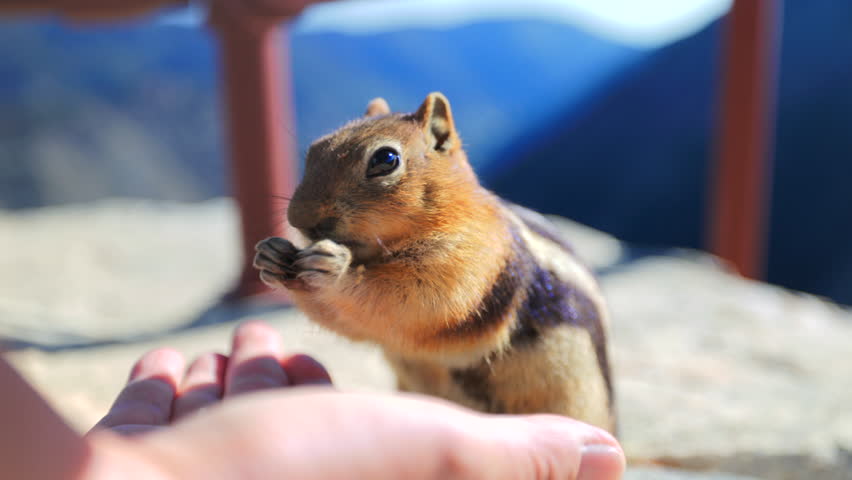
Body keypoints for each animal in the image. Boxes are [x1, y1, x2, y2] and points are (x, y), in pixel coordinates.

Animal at [253, 92, 615, 432]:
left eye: (385, 159)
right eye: (314, 150)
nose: (299, 220)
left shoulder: (472, 260)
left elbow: (415, 301)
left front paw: (336, 269)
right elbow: (356, 323)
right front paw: (272, 254)